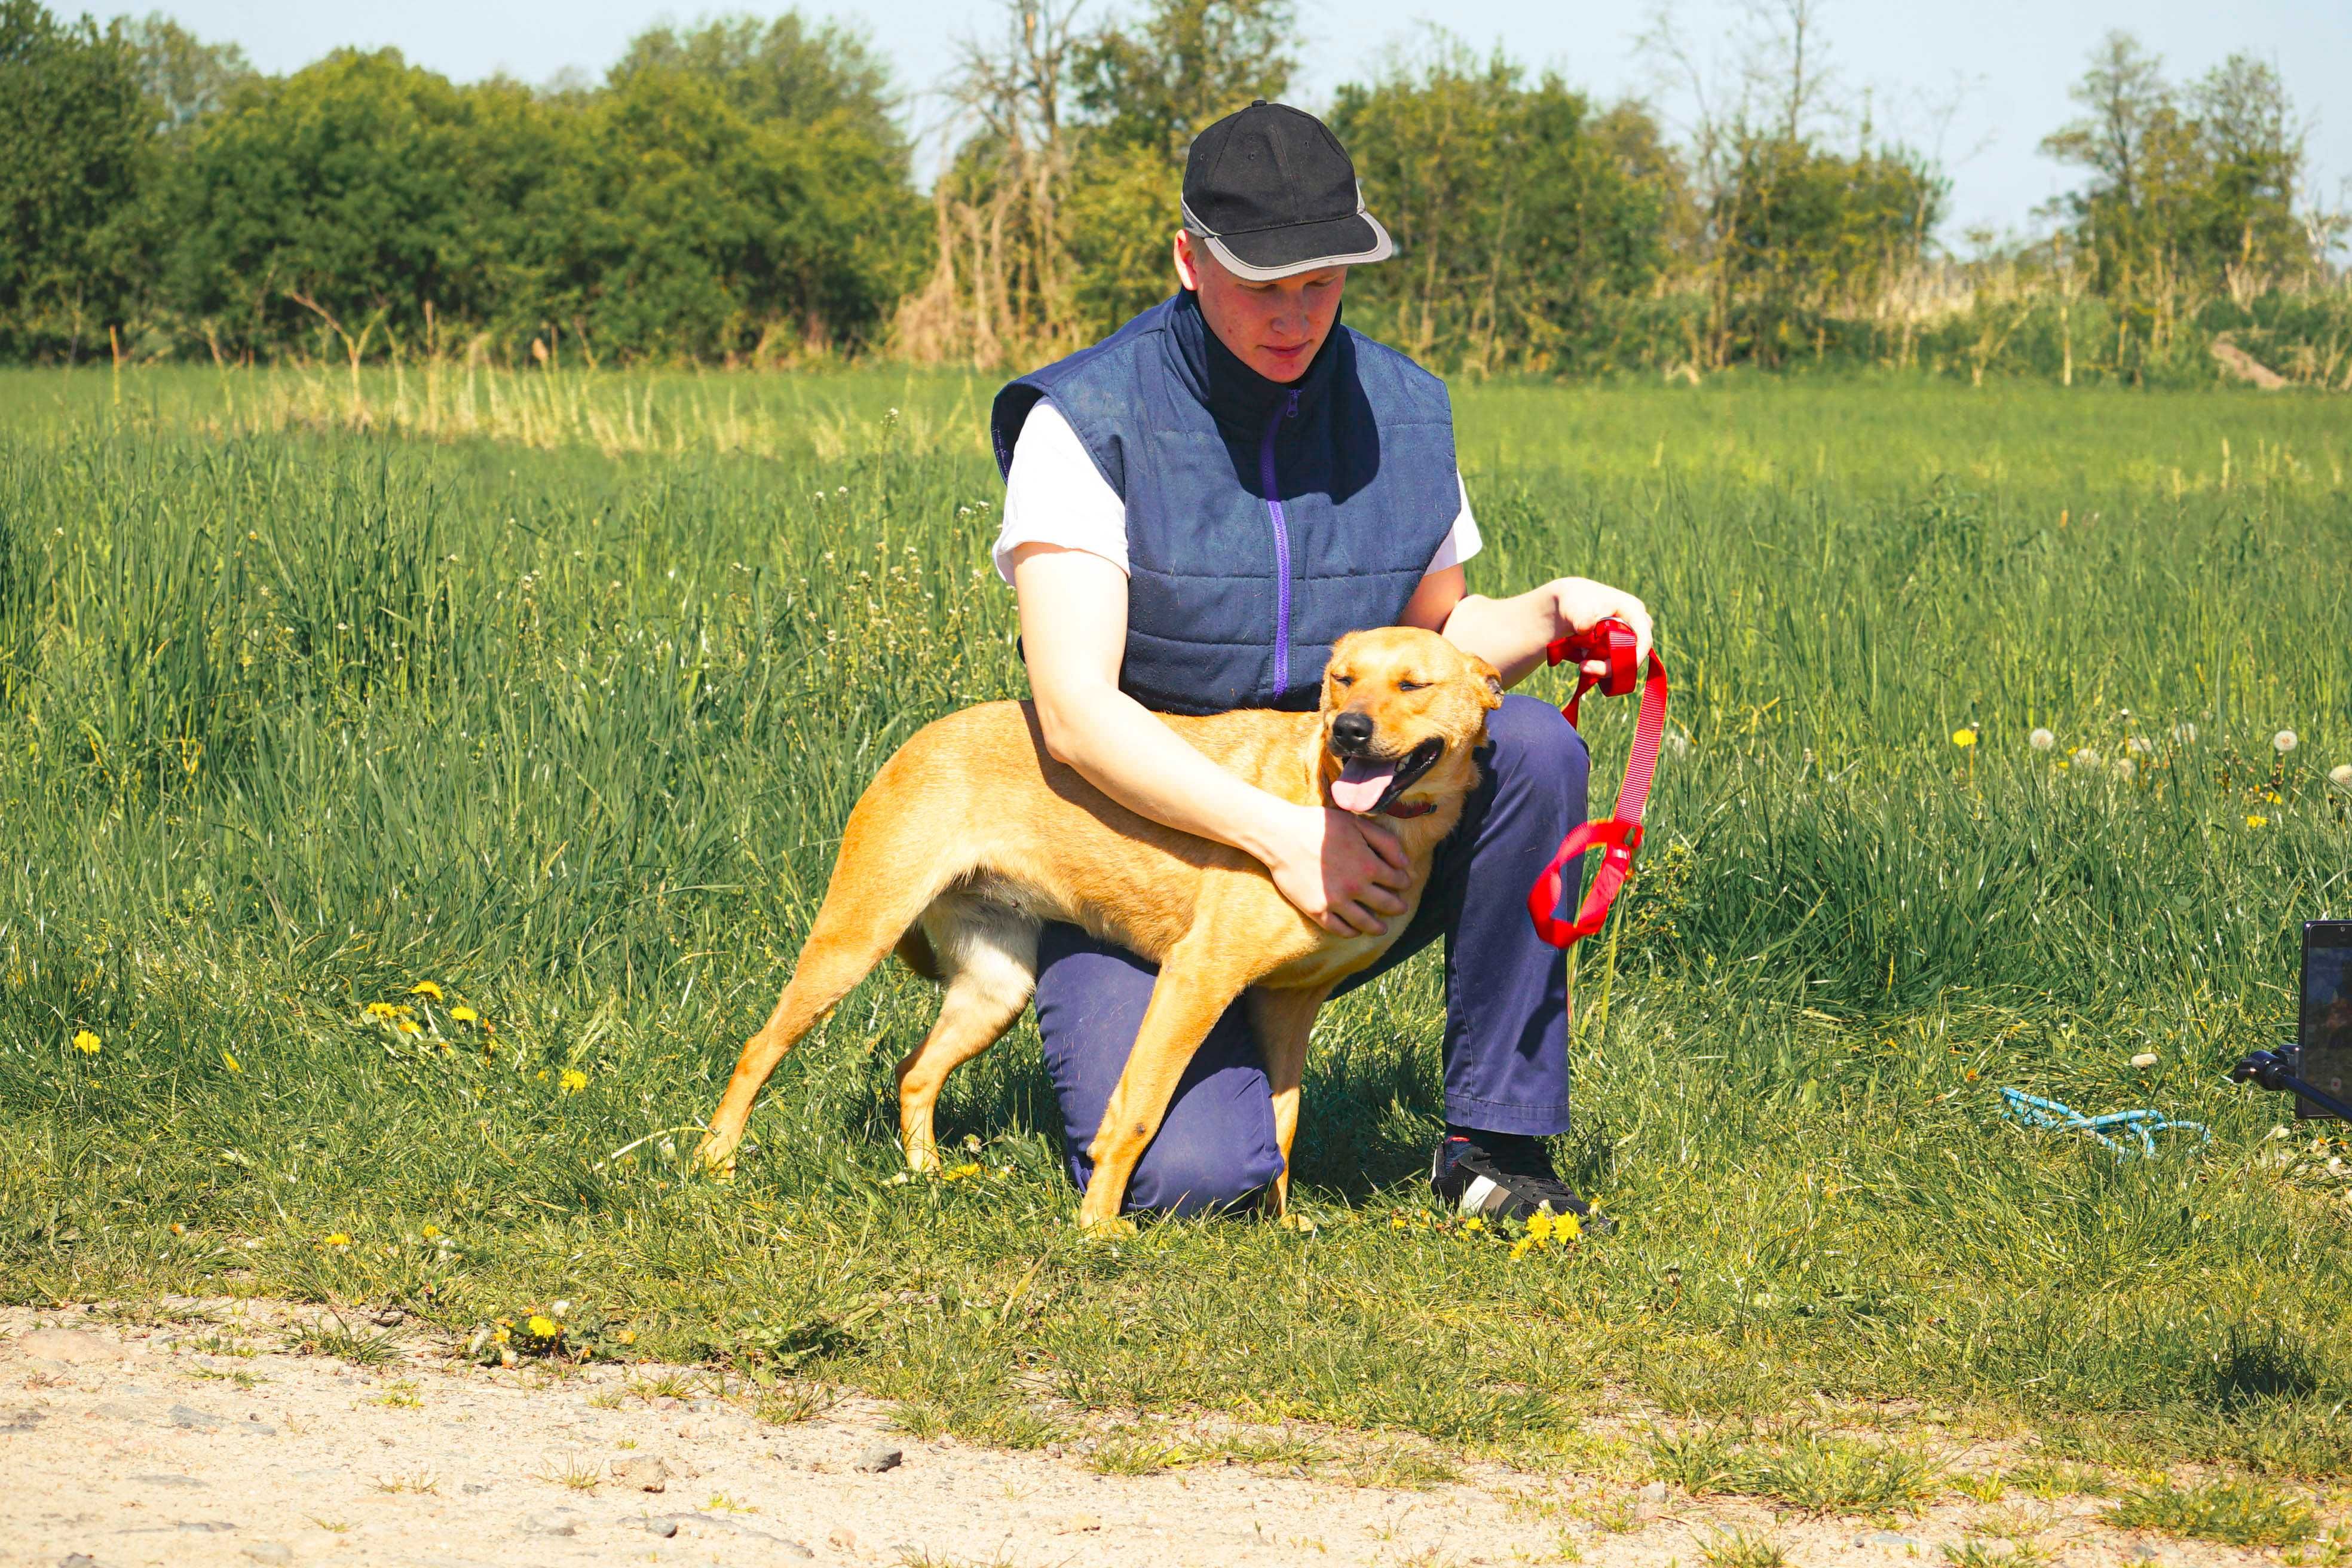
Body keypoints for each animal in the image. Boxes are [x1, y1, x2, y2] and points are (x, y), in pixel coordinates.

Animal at [696, 625, 1505, 1222]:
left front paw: (1277, 1223)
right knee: (759, 1048)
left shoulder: (1287, 1003)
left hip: (996, 988)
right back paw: (716, 1162)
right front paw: (1099, 1228)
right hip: (853, 940)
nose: (1350, 731)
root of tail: (923, 736)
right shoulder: (1196, 980)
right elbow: (1138, 1112)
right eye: (1342, 677)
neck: (1340, 812)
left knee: (914, 1070)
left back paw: (925, 1172)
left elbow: (1282, 1125)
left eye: (1413, 684)